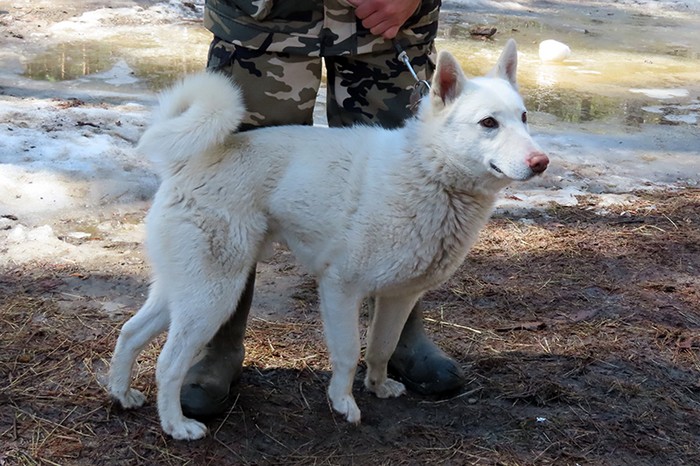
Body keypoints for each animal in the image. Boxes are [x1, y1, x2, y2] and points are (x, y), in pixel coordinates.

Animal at [108, 39, 548, 440]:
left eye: (524, 117)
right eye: (488, 123)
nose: (541, 162)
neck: (429, 173)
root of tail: (188, 161)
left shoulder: (398, 296)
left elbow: (382, 347)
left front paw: (378, 386)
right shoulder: (340, 288)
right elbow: (349, 353)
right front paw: (343, 403)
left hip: (184, 289)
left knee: (130, 332)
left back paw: (121, 394)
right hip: (214, 294)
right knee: (168, 364)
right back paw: (177, 426)